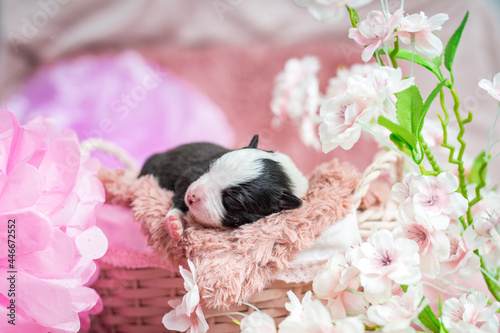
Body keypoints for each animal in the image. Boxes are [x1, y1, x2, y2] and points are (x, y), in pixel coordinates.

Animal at [139, 136, 306, 239]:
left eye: (233, 199)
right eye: (210, 167)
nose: (191, 196)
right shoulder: (191, 174)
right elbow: (181, 192)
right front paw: (174, 223)